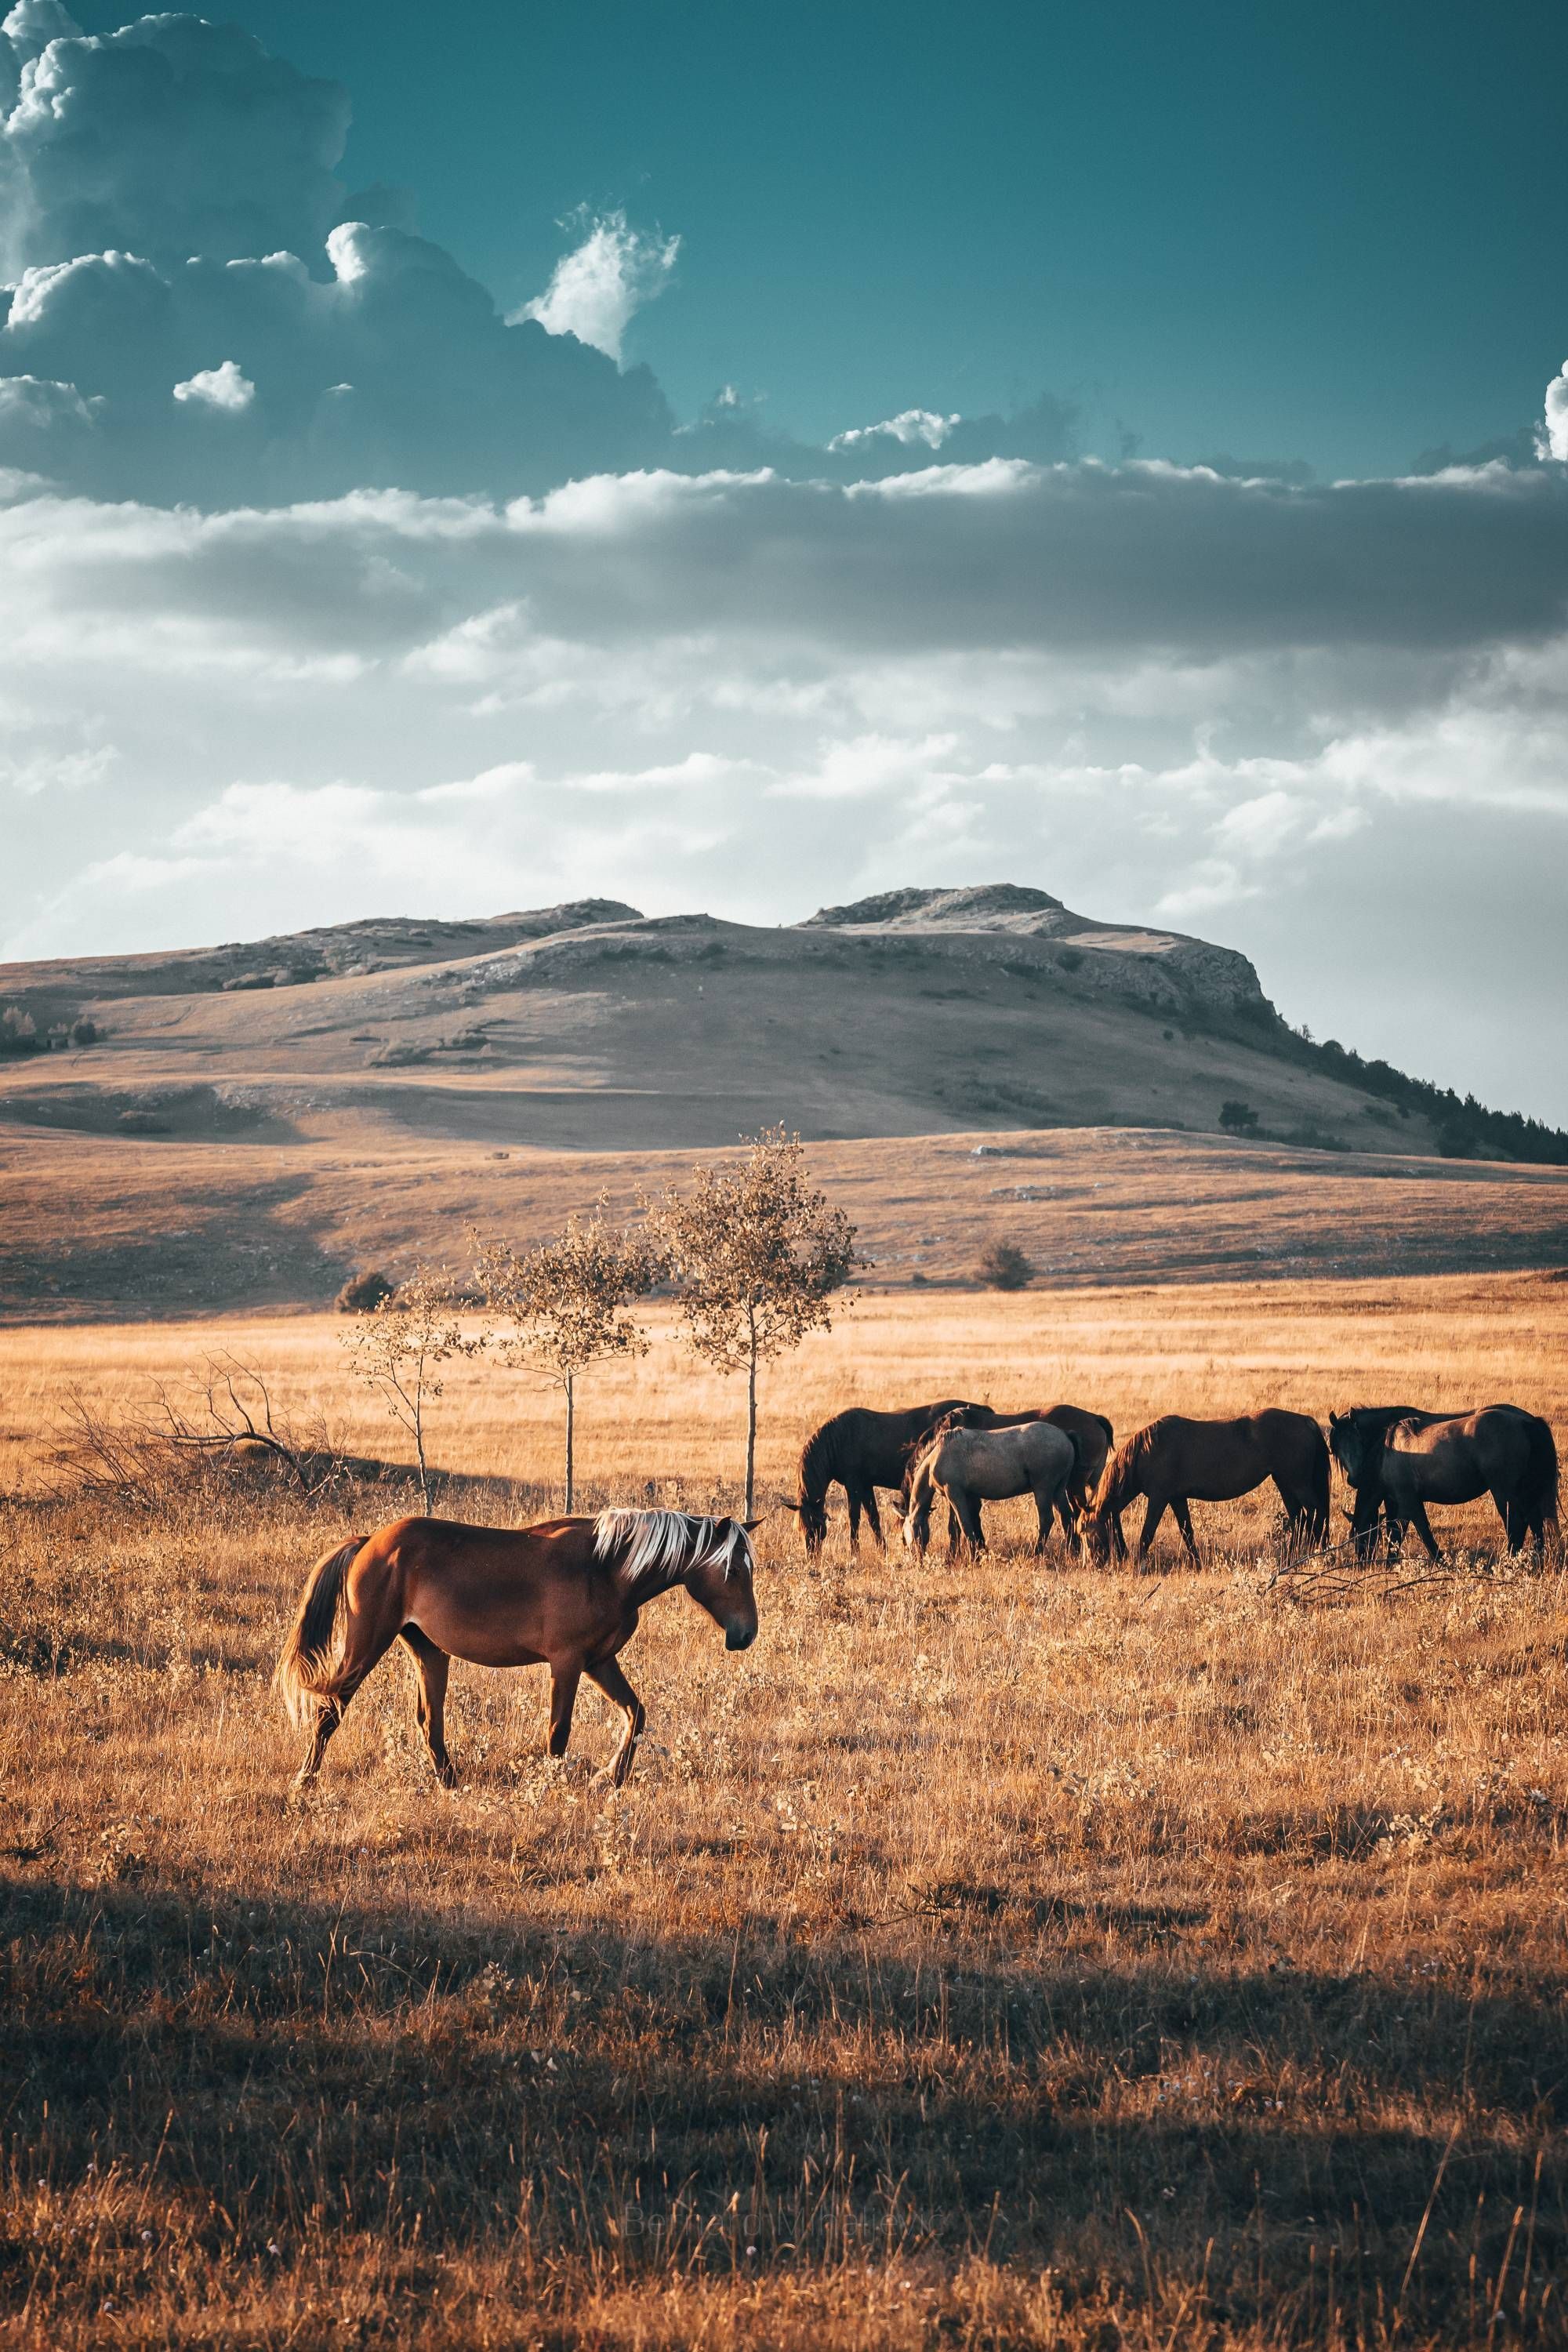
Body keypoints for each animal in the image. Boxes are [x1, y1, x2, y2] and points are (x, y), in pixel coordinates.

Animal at [277, 1515, 761, 1788]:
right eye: (733, 1570)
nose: (745, 1635)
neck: (605, 1567)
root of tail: (369, 1542)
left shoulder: (599, 1662)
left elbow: (635, 1714)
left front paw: (611, 1777)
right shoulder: (567, 1663)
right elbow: (558, 1733)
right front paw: (553, 1786)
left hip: (429, 1651)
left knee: (429, 1722)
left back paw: (451, 1783)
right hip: (365, 1646)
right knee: (329, 1713)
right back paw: (304, 1781)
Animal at [907, 1411, 1081, 1562]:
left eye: (910, 1531)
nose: (916, 1558)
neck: (938, 1455)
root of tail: (1065, 1435)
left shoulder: (955, 1495)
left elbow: (964, 1524)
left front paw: (973, 1558)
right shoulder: (966, 1496)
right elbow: (966, 1525)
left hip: (1043, 1490)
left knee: (1046, 1519)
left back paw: (1036, 1554)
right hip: (1058, 1491)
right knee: (1067, 1517)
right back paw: (1071, 1553)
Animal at [1081, 1402, 1335, 1571]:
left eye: (1084, 1531)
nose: (1091, 1565)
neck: (1148, 1451)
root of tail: (1305, 1421)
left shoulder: (1159, 1498)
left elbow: (1147, 1533)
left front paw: (1137, 1567)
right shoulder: (1177, 1498)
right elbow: (1187, 1533)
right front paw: (1197, 1564)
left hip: (1297, 1483)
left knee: (1316, 1512)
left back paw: (1315, 1553)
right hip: (1284, 1483)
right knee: (1299, 1518)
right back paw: (1293, 1558)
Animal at [1326, 1392, 1561, 1562]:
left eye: (1361, 1536)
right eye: (1336, 1447)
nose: (1361, 1562)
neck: (1386, 1447)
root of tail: (1528, 1422)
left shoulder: (1407, 1499)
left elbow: (1420, 1529)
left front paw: (1440, 1560)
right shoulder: (1396, 1500)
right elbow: (1396, 1531)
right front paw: (1392, 1562)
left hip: (1504, 1492)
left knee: (1517, 1523)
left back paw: (1511, 1559)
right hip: (1527, 1491)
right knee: (1535, 1522)